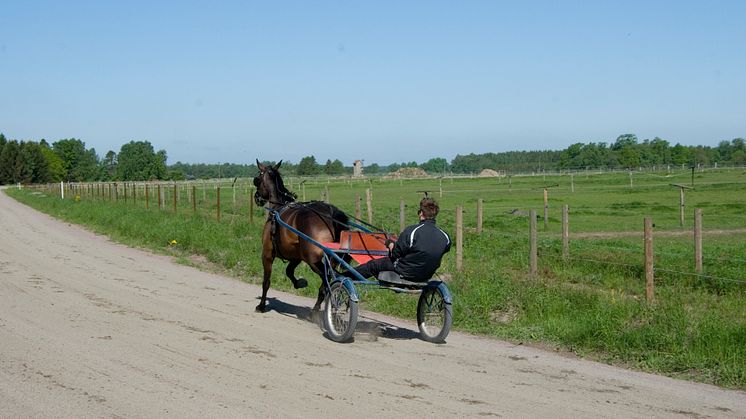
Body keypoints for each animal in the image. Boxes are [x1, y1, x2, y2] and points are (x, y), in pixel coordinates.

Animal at [251, 159, 350, 314]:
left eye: (257, 179)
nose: (257, 198)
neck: (277, 208)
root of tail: (331, 213)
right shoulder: (296, 256)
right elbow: (289, 271)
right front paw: (300, 283)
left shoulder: (267, 253)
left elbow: (266, 282)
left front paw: (261, 306)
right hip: (328, 259)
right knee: (328, 281)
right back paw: (316, 308)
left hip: (312, 259)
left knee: (329, 278)